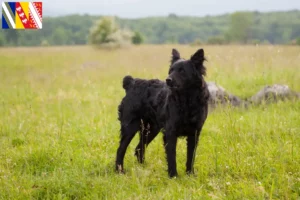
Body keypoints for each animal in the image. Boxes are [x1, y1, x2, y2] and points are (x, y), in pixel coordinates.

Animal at [116, 49, 210, 177]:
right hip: (130, 127)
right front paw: (173, 176)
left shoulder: (194, 133)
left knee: (139, 148)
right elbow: (172, 156)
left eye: (182, 71)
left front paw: (190, 174)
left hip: (151, 129)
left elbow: (191, 156)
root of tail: (131, 83)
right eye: (171, 70)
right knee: (121, 149)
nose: (168, 80)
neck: (187, 100)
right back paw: (119, 171)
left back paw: (143, 168)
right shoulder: (170, 132)